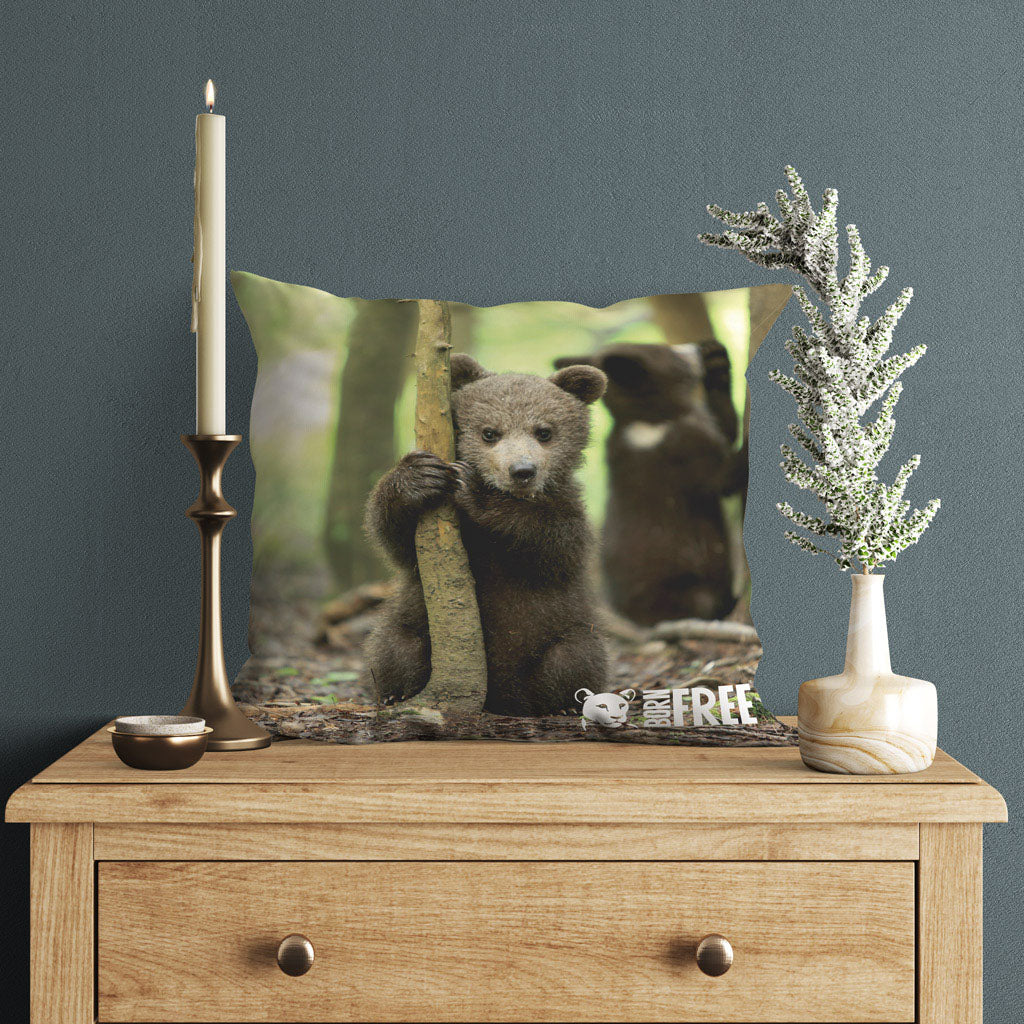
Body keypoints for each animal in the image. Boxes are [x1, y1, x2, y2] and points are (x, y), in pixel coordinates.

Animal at [363, 354, 611, 717]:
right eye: (489, 432)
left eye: (544, 432)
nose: (522, 471)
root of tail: (502, 698)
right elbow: (398, 540)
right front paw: (418, 475)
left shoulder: (568, 514)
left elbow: (552, 544)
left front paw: (475, 490)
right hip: (414, 621)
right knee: (396, 646)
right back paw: (397, 693)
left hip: (563, 630)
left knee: (574, 658)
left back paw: (563, 705)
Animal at [554, 341, 742, 626]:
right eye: (670, 352)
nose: (695, 347)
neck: (650, 419)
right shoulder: (682, 451)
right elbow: (724, 476)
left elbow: (725, 429)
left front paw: (717, 359)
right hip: (682, 587)